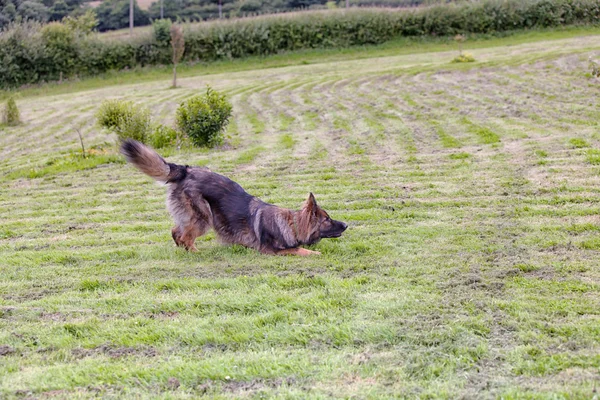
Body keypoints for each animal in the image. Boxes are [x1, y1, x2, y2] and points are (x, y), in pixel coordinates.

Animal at [119, 139, 346, 255]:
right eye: (327, 219)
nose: (346, 224)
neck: (292, 224)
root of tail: (186, 170)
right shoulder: (271, 250)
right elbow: (300, 250)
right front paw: (316, 254)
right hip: (204, 218)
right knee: (184, 235)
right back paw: (195, 252)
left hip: (193, 217)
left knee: (176, 231)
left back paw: (184, 250)